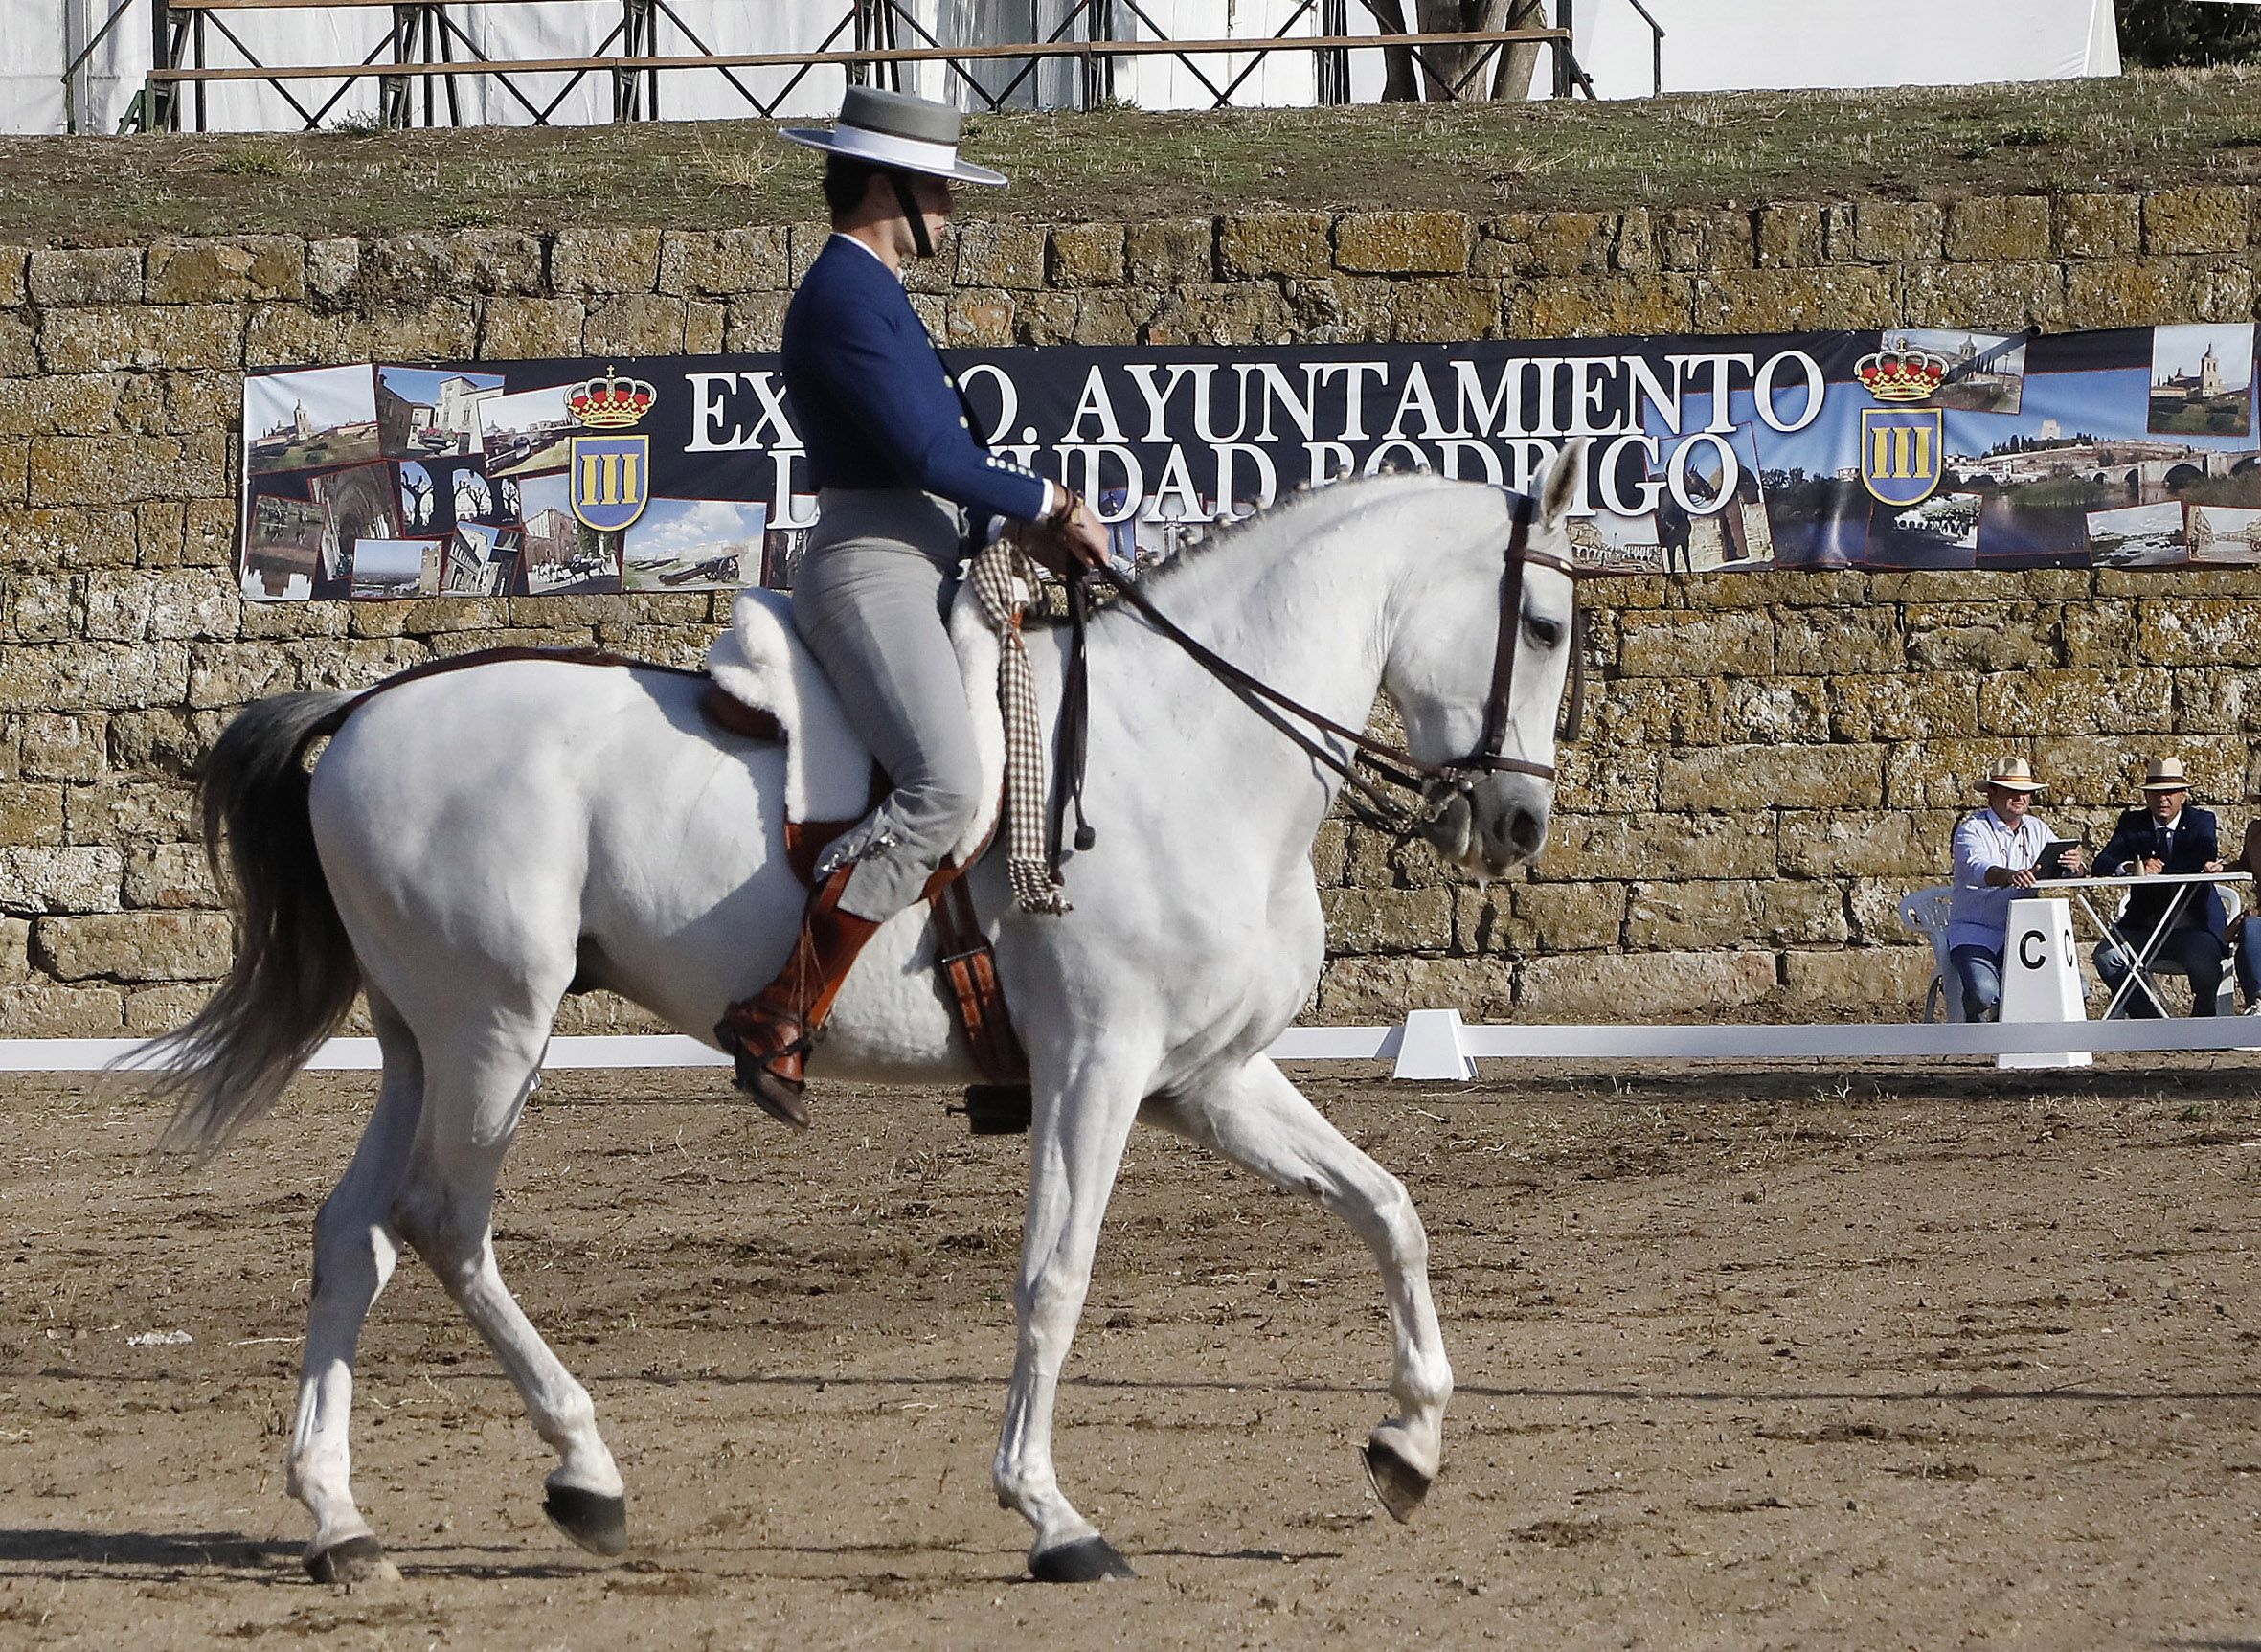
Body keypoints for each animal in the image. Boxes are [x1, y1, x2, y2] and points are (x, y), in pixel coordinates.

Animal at [150, 444, 1592, 1581]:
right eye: (1544, 628)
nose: (1518, 824)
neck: (1192, 741)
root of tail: (365, 705)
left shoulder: (1209, 1077)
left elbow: (1388, 1208)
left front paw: (1408, 1445)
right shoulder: (1098, 1067)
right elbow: (1054, 1276)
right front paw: (1050, 1513)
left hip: (419, 1042)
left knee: (355, 1236)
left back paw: (340, 1521)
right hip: (494, 1031)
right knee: (444, 1226)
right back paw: (584, 1473)